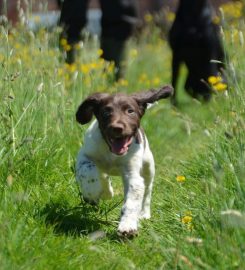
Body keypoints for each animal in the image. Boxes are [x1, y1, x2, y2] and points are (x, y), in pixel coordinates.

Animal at [75, 86, 173, 236]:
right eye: (106, 112)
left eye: (130, 111)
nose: (117, 128)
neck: (112, 153)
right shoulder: (83, 156)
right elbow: (89, 170)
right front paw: (93, 193)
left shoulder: (132, 174)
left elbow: (132, 201)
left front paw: (128, 226)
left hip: (148, 167)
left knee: (147, 191)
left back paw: (144, 213)